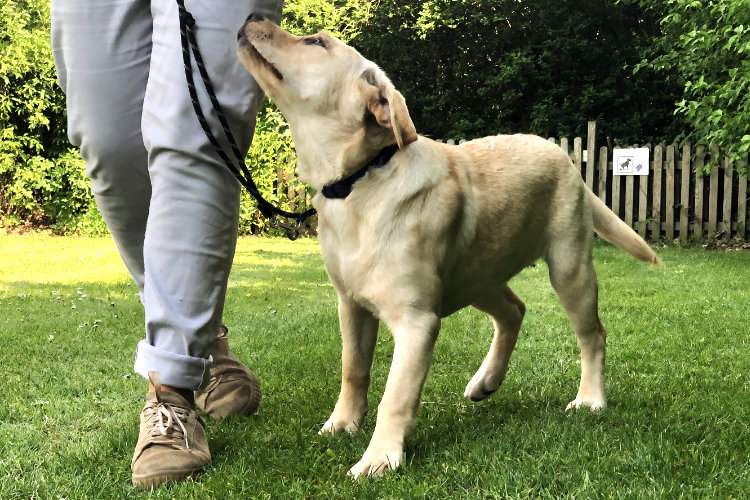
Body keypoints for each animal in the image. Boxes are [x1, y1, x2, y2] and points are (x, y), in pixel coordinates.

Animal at [239, 14, 656, 476]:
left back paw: (589, 398)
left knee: (593, 335)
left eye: (315, 42)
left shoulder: (417, 321)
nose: (252, 17)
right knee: (514, 310)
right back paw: (487, 381)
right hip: (476, 274)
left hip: (568, 269)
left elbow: (395, 396)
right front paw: (343, 423)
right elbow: (354, 370)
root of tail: (565, 157)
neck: (361, 180)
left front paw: (379, 457)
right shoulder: (350, 304)